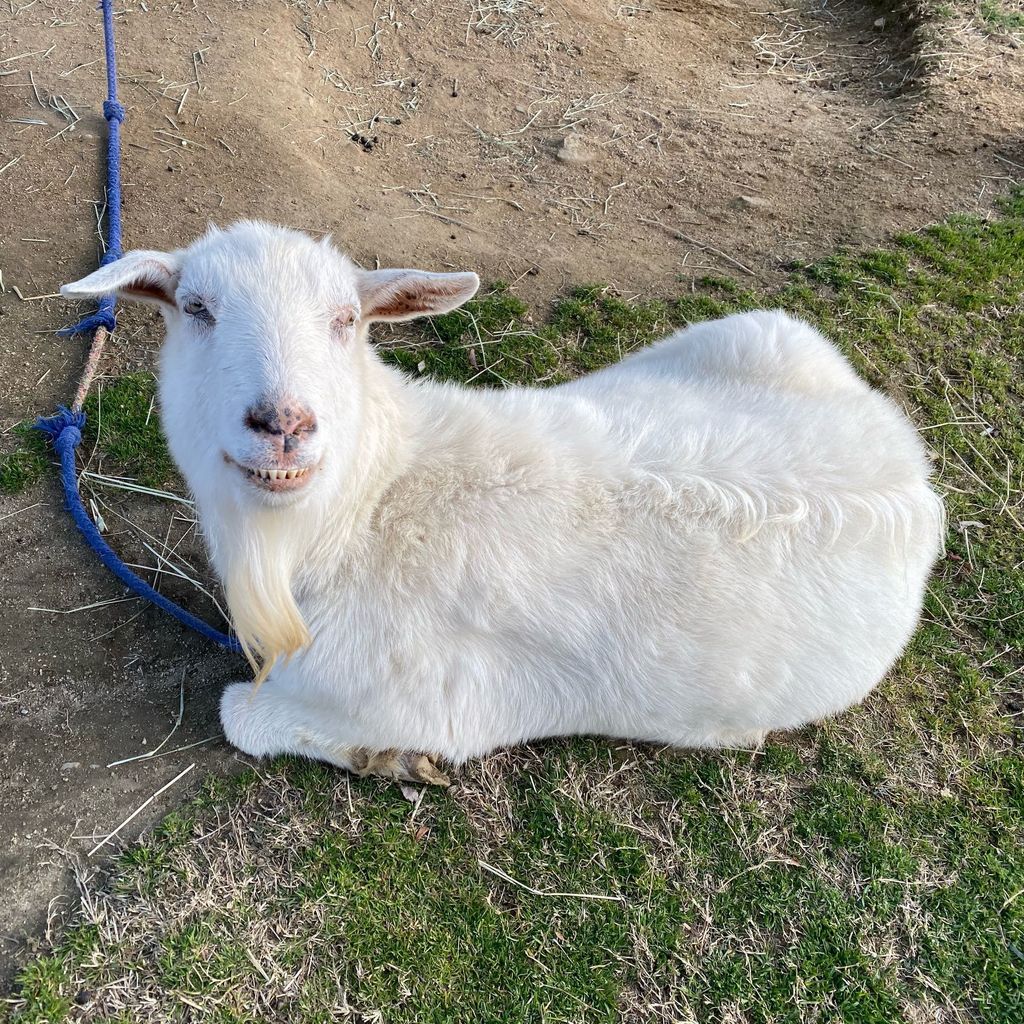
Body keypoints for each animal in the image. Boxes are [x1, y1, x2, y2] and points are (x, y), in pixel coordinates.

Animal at [61, 222, 942, 782]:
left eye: (347, 319)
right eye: (196, 309)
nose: (284, 425)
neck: (367, 508)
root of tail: (910, 470)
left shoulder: (427, 701)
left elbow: (238, 713)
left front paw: (390, 760)